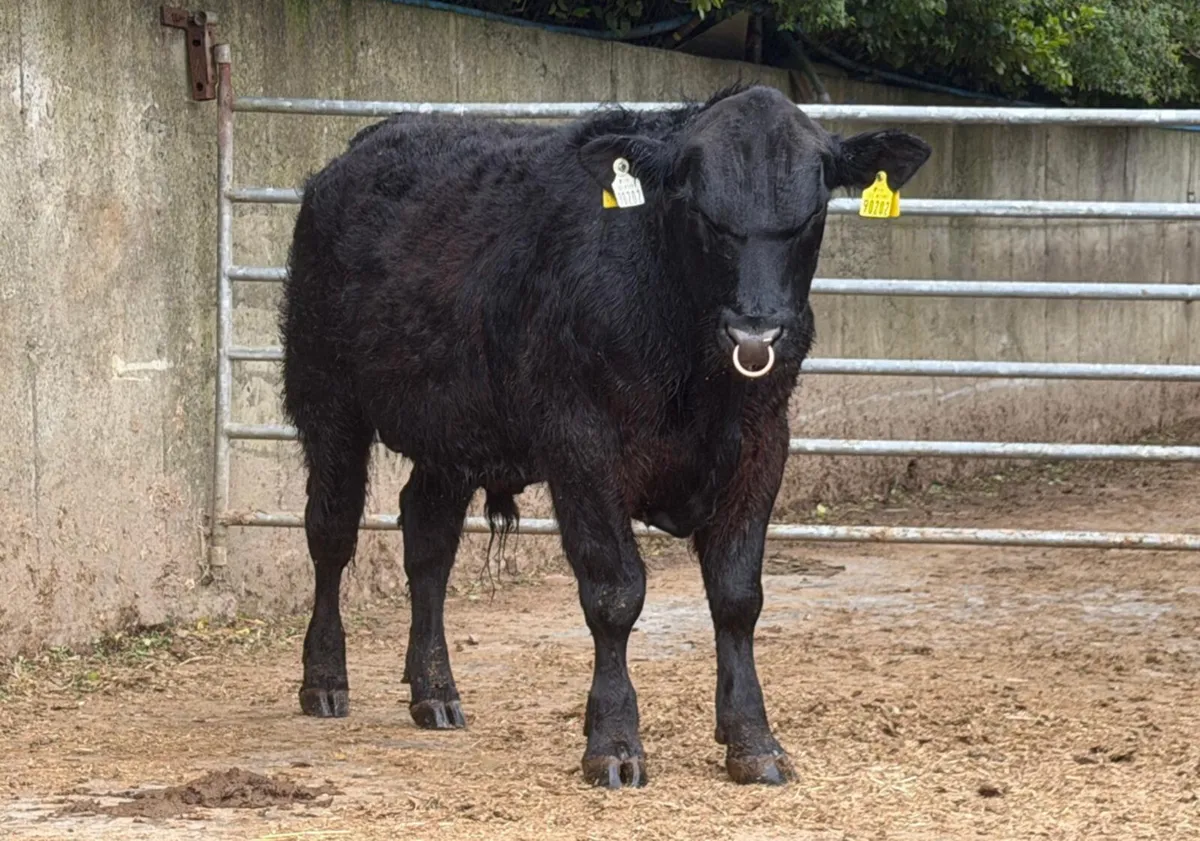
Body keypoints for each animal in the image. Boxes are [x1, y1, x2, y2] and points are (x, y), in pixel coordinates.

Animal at [280, 84, 930, 788]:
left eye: (810, 213)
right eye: (697, 208)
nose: (755, 334)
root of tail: (360, 150)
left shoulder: (763, 444)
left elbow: (737, 595)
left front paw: (753, 740)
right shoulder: (582, 443)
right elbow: (616, 592)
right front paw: (614, 743)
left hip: (451, 431)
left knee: (428, 541)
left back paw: (435, 692)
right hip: (326, 398)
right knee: (331, 532)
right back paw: (324, 680)